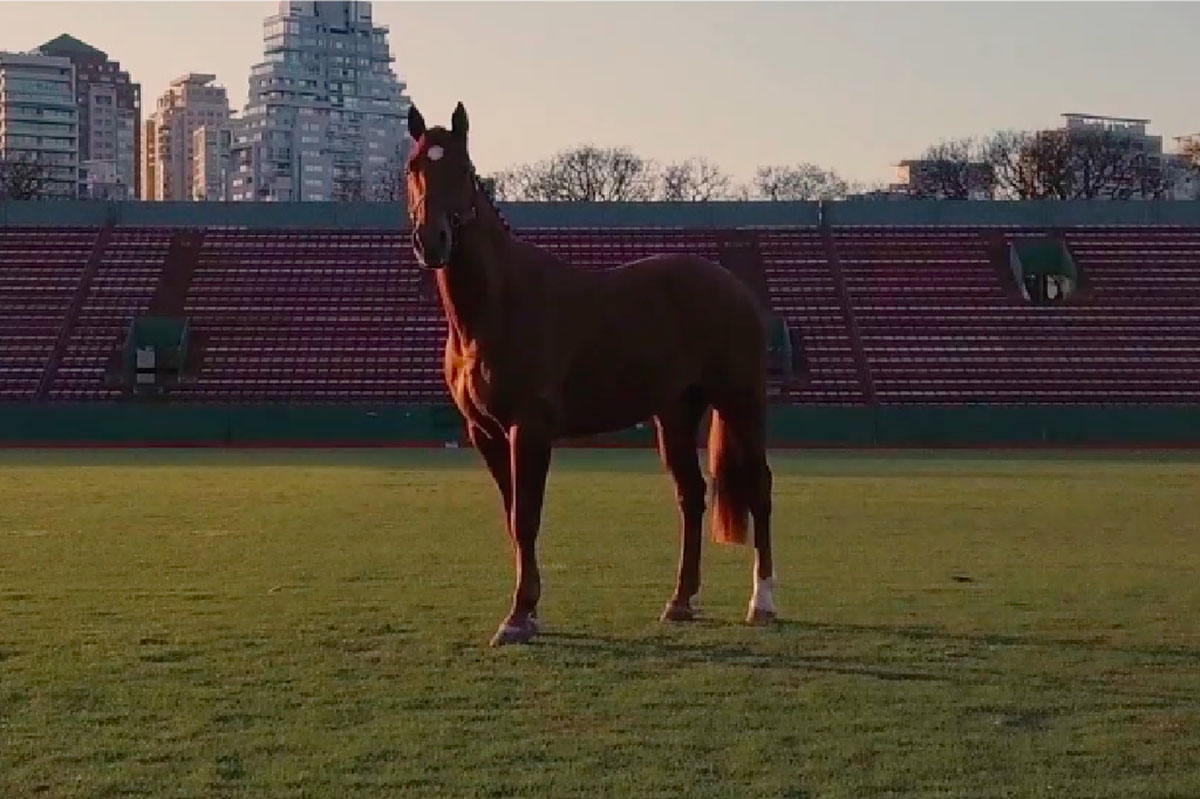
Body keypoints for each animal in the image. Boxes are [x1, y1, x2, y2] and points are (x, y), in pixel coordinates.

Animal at [408, 102, 772, 643]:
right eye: (413, 167)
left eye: (464, 170)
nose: (432, 240)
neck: (496, 306)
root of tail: (732, 285)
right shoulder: (485, 433)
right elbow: (512, 516)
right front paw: (527, 610)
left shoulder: (529, 430)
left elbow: (527, 518)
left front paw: (520, 616)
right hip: (675, 414)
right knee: (691, 496)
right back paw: (680, 601)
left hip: (741, 402)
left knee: (760, 488)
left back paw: (762, 602)